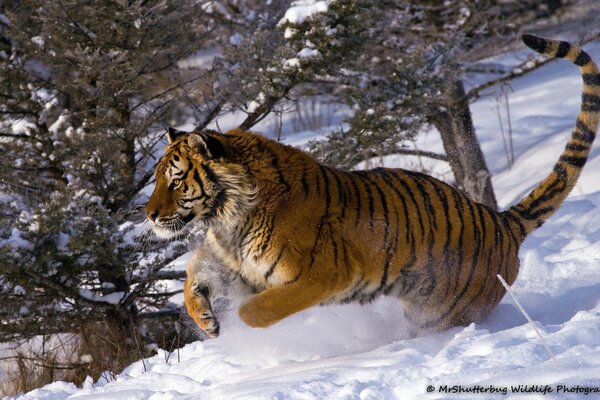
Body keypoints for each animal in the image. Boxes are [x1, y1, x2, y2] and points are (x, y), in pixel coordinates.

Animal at [145, 36, 600, 338]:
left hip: (445, 313)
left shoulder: (319, 275)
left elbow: (255, 311)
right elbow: (194, 272)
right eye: (157, 179)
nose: (148, 216)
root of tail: (502, 221)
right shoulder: (235, 260)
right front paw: (205, 317)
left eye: (176, 180)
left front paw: (239, 324)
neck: (227, 216)